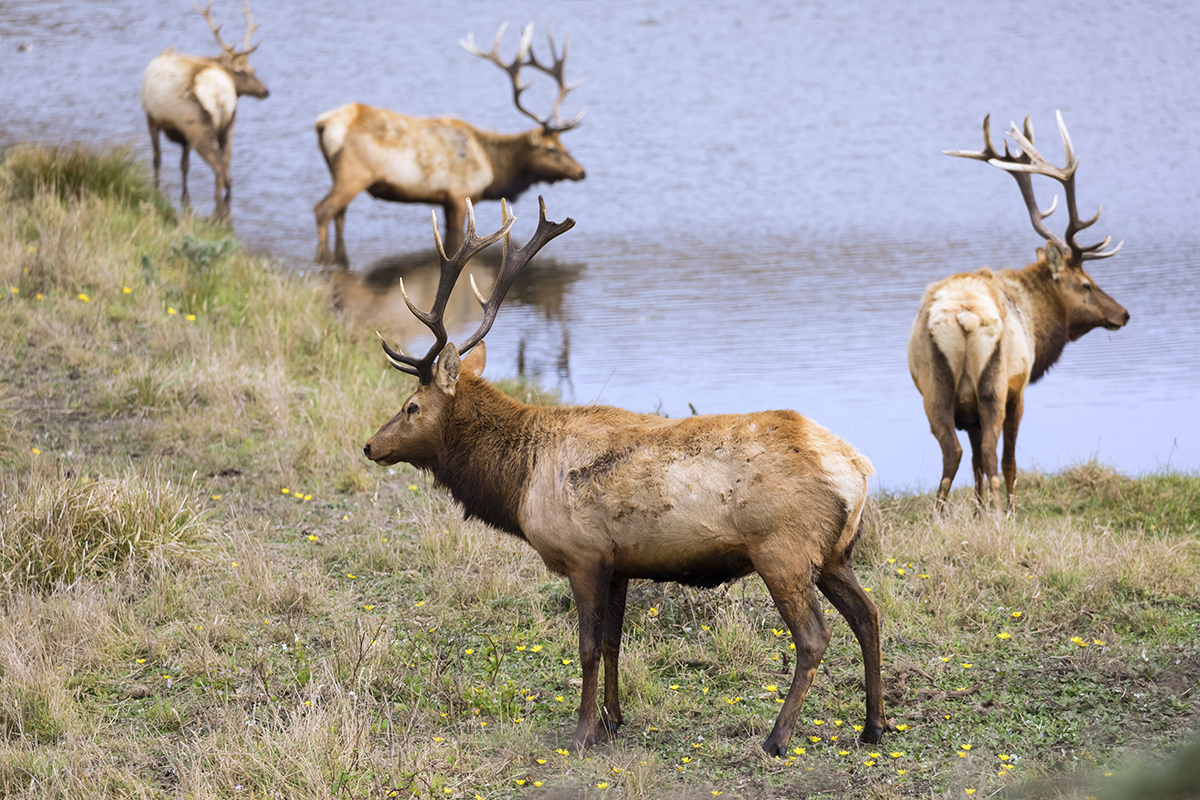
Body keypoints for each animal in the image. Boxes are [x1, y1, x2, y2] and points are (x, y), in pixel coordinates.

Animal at [140, 2, 269, 221]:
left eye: (252, 69)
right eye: (242, 71)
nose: (265, 91)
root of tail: (221, 96)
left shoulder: (151, 116)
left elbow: (158, 158)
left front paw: (157, 189)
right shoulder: (180, 133)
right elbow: (183, 164)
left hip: (199, 127)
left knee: (218, 167)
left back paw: (218, 206)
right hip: (228, 127)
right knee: (227, 165)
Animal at [314, 23, 586, 266]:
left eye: (564, 146)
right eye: (552, 149)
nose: (581, 171)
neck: (493, 171)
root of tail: (323, 123)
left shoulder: (445, 200)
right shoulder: (458, 195)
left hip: (338, 174)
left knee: (339, 215)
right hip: (354, 174)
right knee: (323, 209)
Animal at [362, 198, 886, 756]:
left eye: (411, 407)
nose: (371, 444)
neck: (518, 483)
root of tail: (858, 470)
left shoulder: (584, 554)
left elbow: (588, 646)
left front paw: (582, 731)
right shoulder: (619, 563)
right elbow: (615, 642)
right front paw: (614, 720)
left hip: (782, 550)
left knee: (814, 636)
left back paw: (777, 737)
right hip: (834, 553)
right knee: (868, 616)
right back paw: (873, 726)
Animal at [908, 112, 1130, 515]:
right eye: (1087, 284)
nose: (1123, 314)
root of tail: (964, 317)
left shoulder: (968, 411)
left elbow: (975, 466)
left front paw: (978, 512)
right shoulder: (1019, 389)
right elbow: (1008, 460)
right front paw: (1007, 512)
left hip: (933, 388)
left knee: (955, 452)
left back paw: (940, 516)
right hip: (994, 384)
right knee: (991, 453)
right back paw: (999, 515)